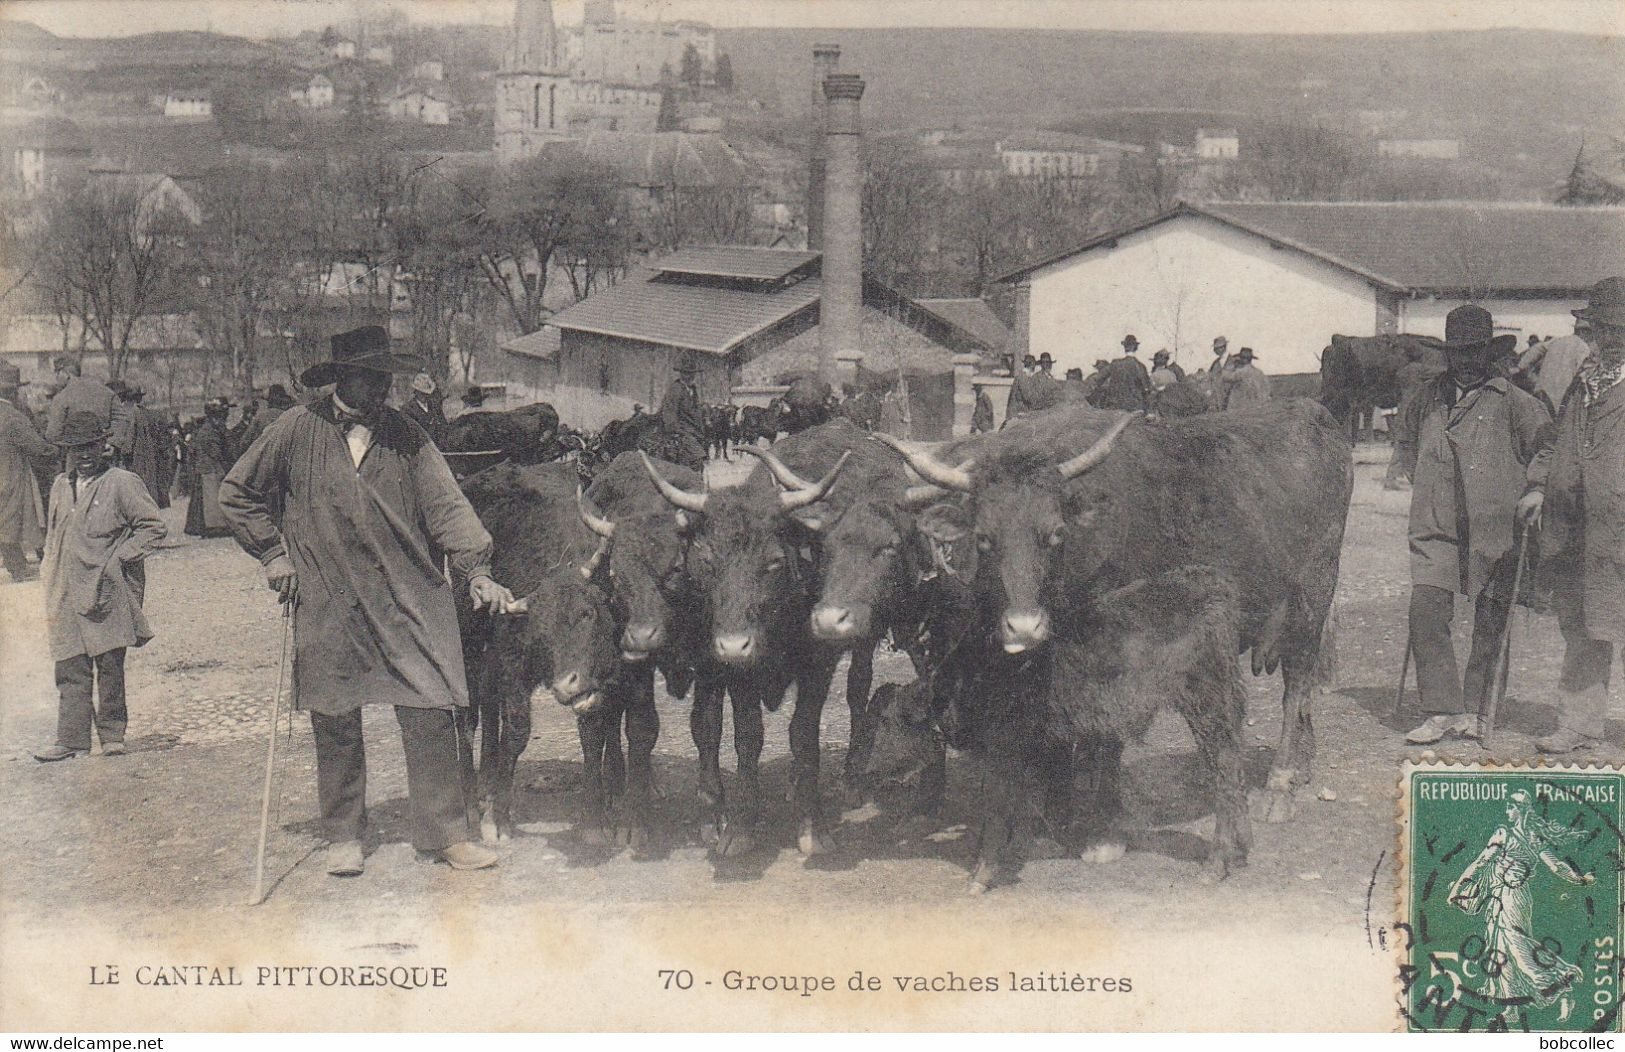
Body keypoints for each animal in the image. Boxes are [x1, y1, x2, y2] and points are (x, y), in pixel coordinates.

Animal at [455, 461, 656, 845]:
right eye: (541, 633)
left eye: (587, 613)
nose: (566, 685)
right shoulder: (513, 665)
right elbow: (517, 732)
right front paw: (498, 818)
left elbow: (593, 736)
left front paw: (594, 820)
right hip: (468, 646)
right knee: (467, 714)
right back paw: (473, 800)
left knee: (487, 706)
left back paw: (487, 781)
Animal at [640, 445, 858, 858]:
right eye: (707, 561)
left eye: (773, 561)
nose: (733, 644)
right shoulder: (736, 673)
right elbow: (747, 737)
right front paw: (739, 826)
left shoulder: (818, 666)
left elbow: (804, 736)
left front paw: (813, 825)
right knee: (707, 728)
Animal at [871, 569, 1248, 891]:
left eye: (886, 721)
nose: (869, 771)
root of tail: (1206, 581)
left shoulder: (1003, 751)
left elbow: (995, 812)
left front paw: (980, 877)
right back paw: (1240, 853)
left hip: (1206, 705)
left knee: (1226, 773)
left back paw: (1216, 864)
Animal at [884, 395, 1352, 832]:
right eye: (983, 537)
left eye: (1056, 533)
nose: (1024, 625)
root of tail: (1315, 415)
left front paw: (1102, 811)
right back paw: (1303, 767)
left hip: (1312, 598)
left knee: (1297, 688)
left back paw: (1281, 783)